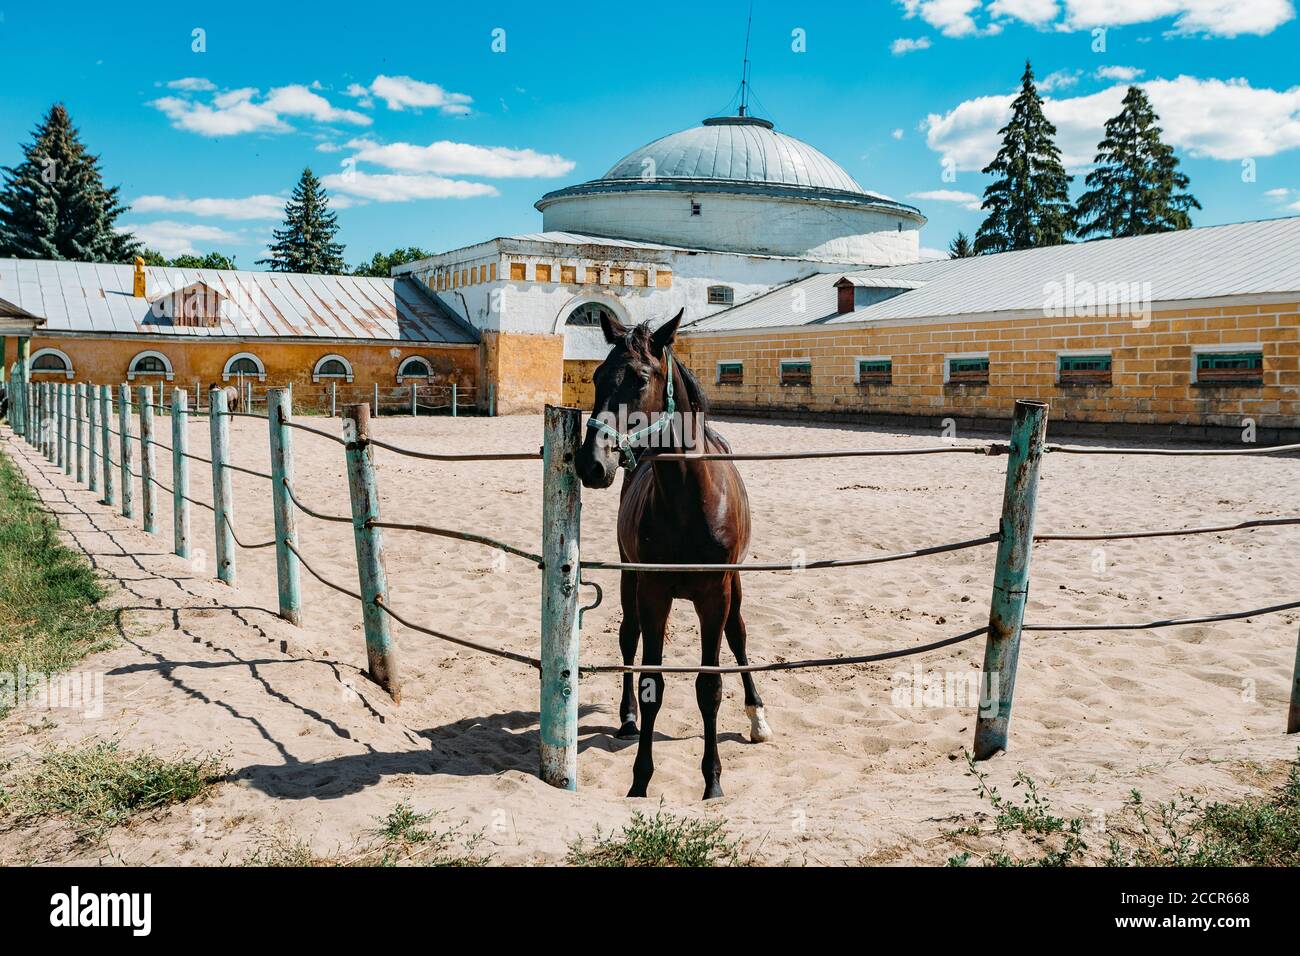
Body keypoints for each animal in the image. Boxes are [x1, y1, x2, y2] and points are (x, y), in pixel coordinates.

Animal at [574, 308, 764, 801]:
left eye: (641, 379)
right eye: (597, 376)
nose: (591, 463)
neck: (689, 500)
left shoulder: (716, 595)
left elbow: (709, 685)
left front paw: (712, 781)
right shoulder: (653, 591)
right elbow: (651, 683)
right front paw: (640, 780)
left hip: (734, 587)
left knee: (739, 636)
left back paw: (757, 714)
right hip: (629, 579)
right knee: (629, 637)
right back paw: (625, 718)